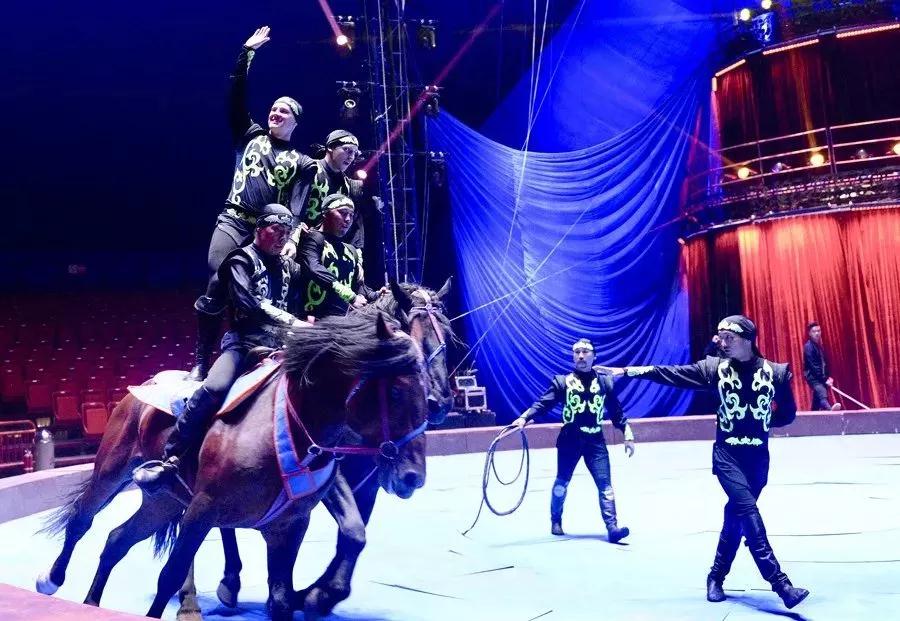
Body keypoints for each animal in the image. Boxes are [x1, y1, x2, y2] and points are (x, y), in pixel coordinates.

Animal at [37, 312, 429, 621]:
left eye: (427, 392)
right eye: (396, 392)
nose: (413, 476)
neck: (291, 424)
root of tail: (146, 384)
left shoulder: (289, 525)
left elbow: (283, 596)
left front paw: (311, 597)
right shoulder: (202, 509)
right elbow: (171, 575)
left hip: (162, 502)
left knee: (117, 539)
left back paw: (90, 604)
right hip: (112, 469)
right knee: (82, 520)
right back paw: (51, 579)